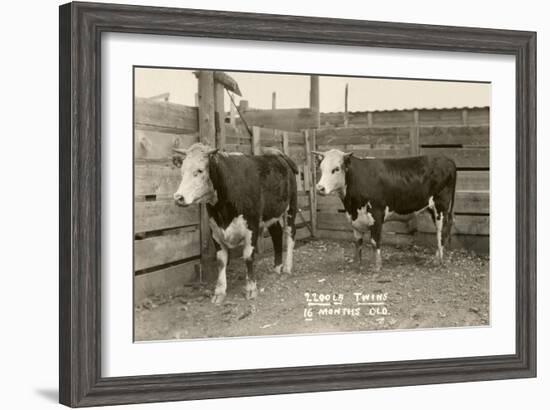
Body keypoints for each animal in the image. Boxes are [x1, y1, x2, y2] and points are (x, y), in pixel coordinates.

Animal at [175, 143, 300, 302]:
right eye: (182, 171)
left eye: (200, 170)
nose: (178, 197)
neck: (223, 210)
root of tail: (277, 155)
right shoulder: (215, 230)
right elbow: (221, 261)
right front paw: (219, 291)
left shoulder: (252, 226)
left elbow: (248, 256)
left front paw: (251, 288)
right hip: (271, 213)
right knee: (277, 234)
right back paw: (277, 267)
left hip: (291, 206)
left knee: (290, 233)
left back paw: (287, 268)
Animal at [314, 149, 458, 270]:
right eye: (321, 168)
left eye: (336, 169)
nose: (319, 188)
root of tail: (446, 159)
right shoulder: (354, 219)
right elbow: (358, 242)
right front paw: (357, 264)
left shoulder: (377, 215)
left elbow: (374, 241)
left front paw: (377, 266)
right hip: (433, 209)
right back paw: (437, 258)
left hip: (441, 206)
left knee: (441, 231)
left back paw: (439, 261)